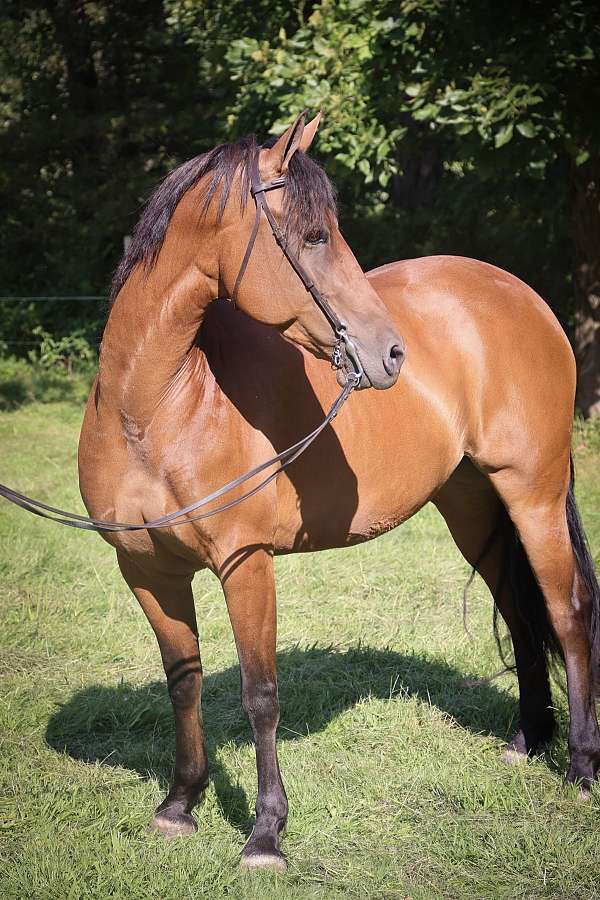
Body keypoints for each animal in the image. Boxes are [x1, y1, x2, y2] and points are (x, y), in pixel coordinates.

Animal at [77, 109, 596, 868]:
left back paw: (582, 766)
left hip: (532, 495)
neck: (154, 408)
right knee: (520, 611)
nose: (391, 353)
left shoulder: (246, 565)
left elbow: (260, 694)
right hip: (473, 507)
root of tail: (521, 295)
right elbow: (185, 681)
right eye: (315, 237)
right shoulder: (146, 571)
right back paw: (527, 741)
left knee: (567, 612)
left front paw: (265, 833)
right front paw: (180, 803)